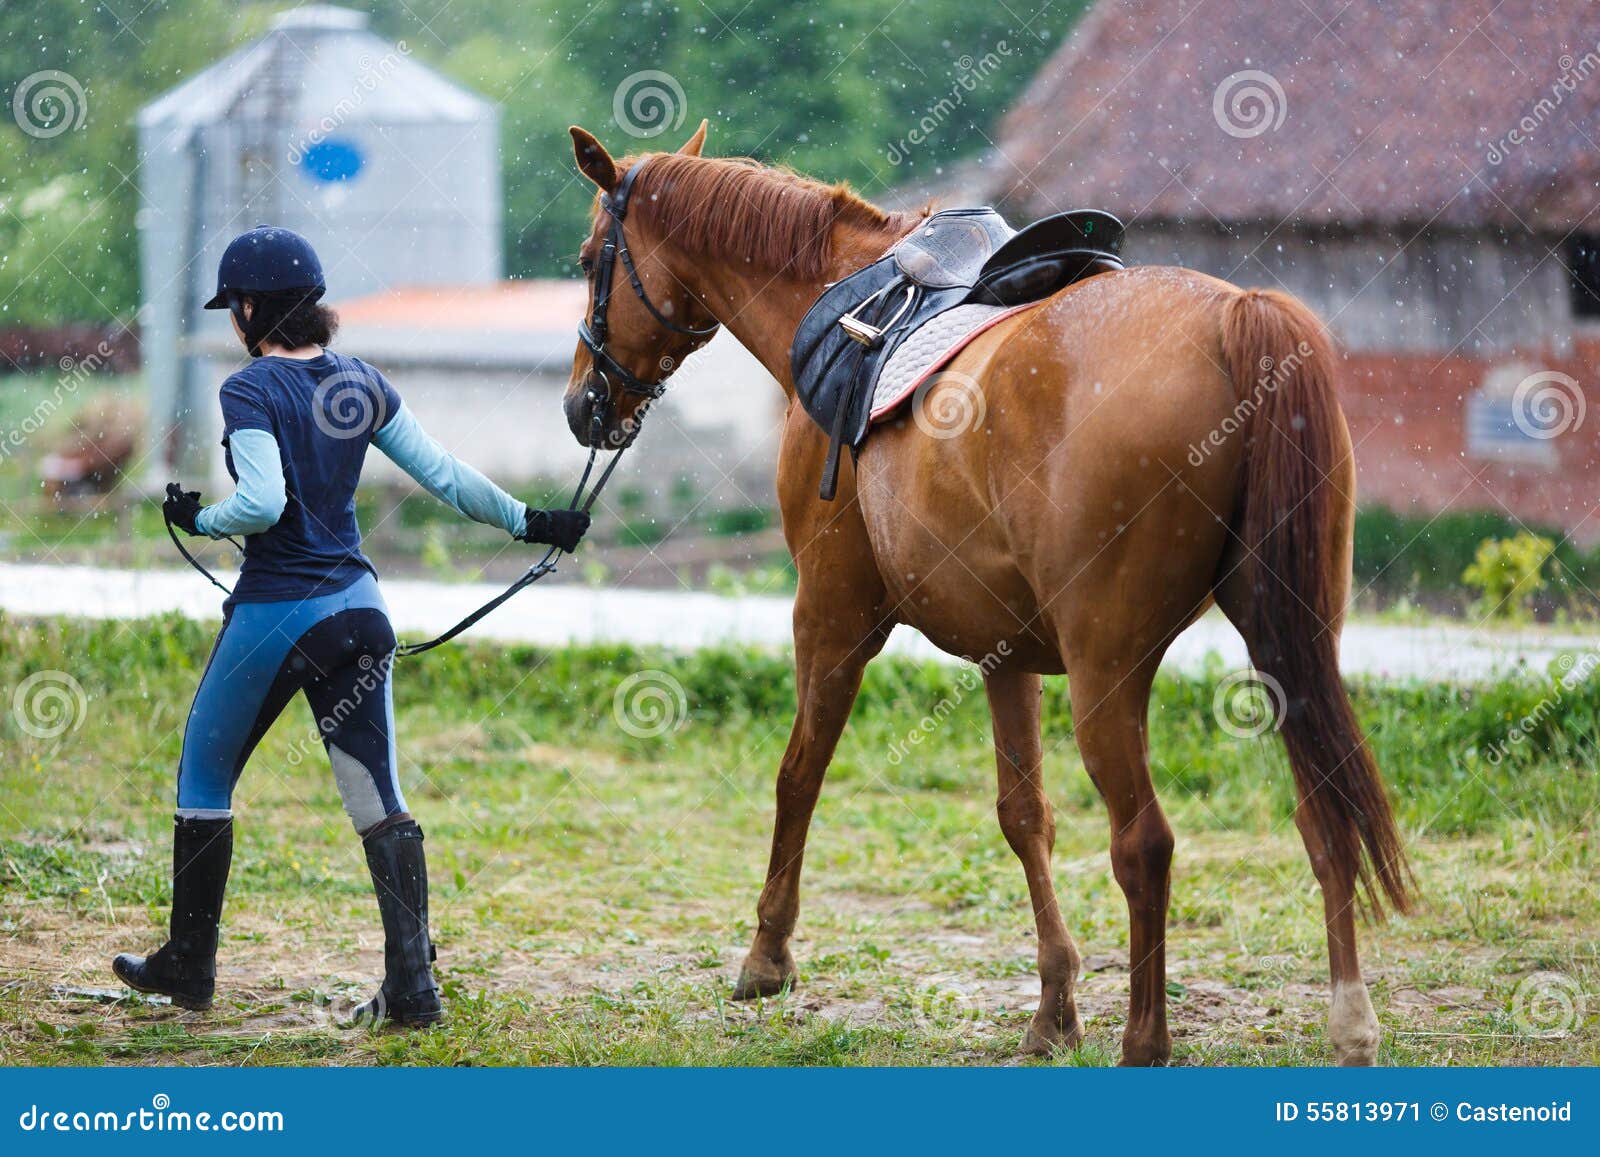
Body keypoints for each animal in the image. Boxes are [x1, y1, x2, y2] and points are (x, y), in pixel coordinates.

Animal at [563, 122, 1414, 1062]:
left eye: (591, 258)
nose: (582, 403)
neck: (836, 294)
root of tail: (1234, 319)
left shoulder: (831, 614)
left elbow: (798, 772)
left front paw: (768, 954)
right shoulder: (1006, 652)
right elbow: (1024, 814)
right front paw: (1054, 1007)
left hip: (1108, 668)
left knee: (1145, 842)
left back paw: (1145, 1039)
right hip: (1286, 643)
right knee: (1323, 816)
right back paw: (1350, 1022)